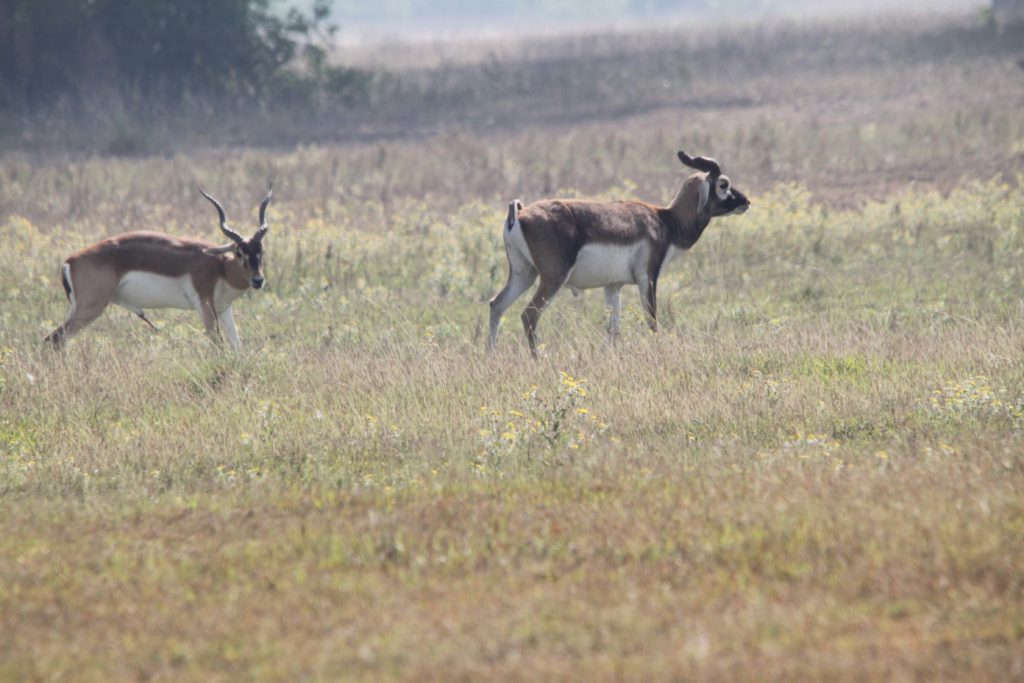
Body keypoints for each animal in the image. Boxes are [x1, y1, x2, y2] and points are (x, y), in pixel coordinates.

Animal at [45, 183, 272, 350]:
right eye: (239, 252)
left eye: (261, 251)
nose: (258, 280)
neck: (221, 268)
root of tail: (70, 260)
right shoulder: (204, 306)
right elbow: (219, 346)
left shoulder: (224, 308)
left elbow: (237, 347)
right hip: (90, 307)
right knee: (54, 340)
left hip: (78, 308)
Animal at [487, 150, 745, 358]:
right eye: (723, 184)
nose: (746, 201)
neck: (665, 221)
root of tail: (519, 214)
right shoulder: (648, 277)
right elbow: (652, 319)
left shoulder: (613, 285)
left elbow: (614, 329)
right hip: (552, 277)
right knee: (529, 315)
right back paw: (538, 359)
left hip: (524, 273)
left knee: (496, 305)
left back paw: (492, 357)